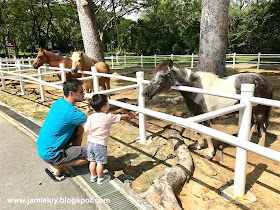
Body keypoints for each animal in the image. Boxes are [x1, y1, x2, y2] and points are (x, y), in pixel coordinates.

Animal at [143, 60, 272, 159]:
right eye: (155, 74)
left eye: (163, 75)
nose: (145, 92)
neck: (197, 89)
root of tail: (264, 80)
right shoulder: (196, 114)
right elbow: (198, 132)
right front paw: (198, 146)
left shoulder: (206, 117)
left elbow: (207, 134)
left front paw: (210, 153)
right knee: (252, 125)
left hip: (259, 111)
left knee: (263, 126)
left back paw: (260, 146)